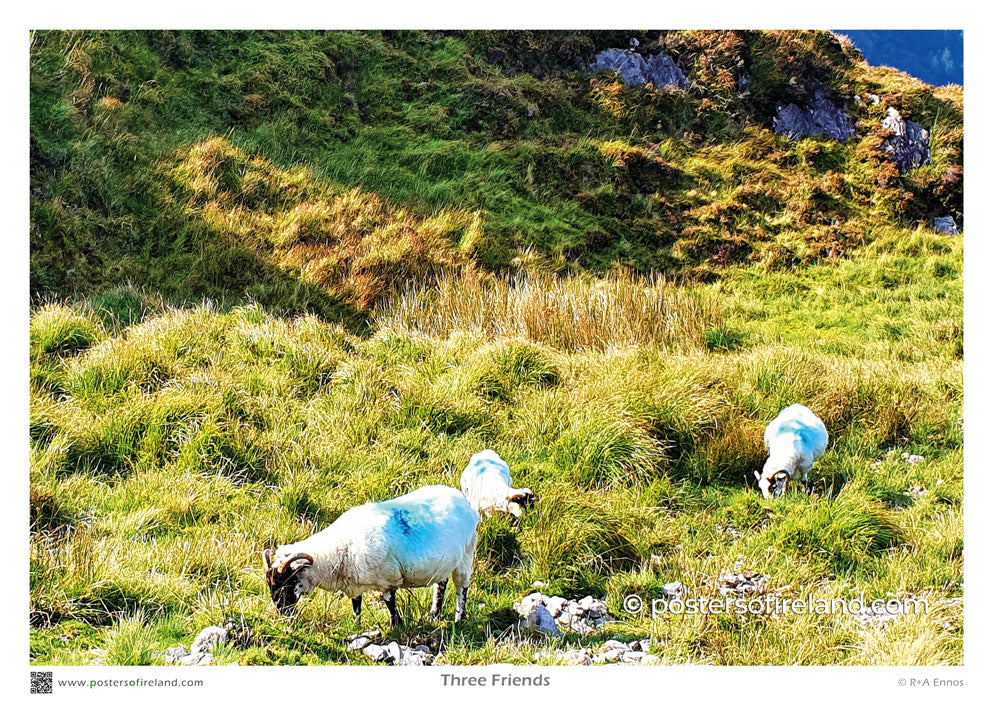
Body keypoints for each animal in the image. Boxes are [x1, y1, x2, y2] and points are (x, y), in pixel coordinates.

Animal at [264, 484, 480, 628]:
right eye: (271, 585)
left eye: (287, 583)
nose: (283, 613)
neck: (340, 548)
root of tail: (464, 501)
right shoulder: (353, 585)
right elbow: (356, 606)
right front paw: (356, 626)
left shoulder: (389, 581)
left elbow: (390, 605)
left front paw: (396, 626)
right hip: (444, 564)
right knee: (441, 585)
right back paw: (434, 615)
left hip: (466, 556)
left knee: (462, 588)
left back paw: (459, 618)